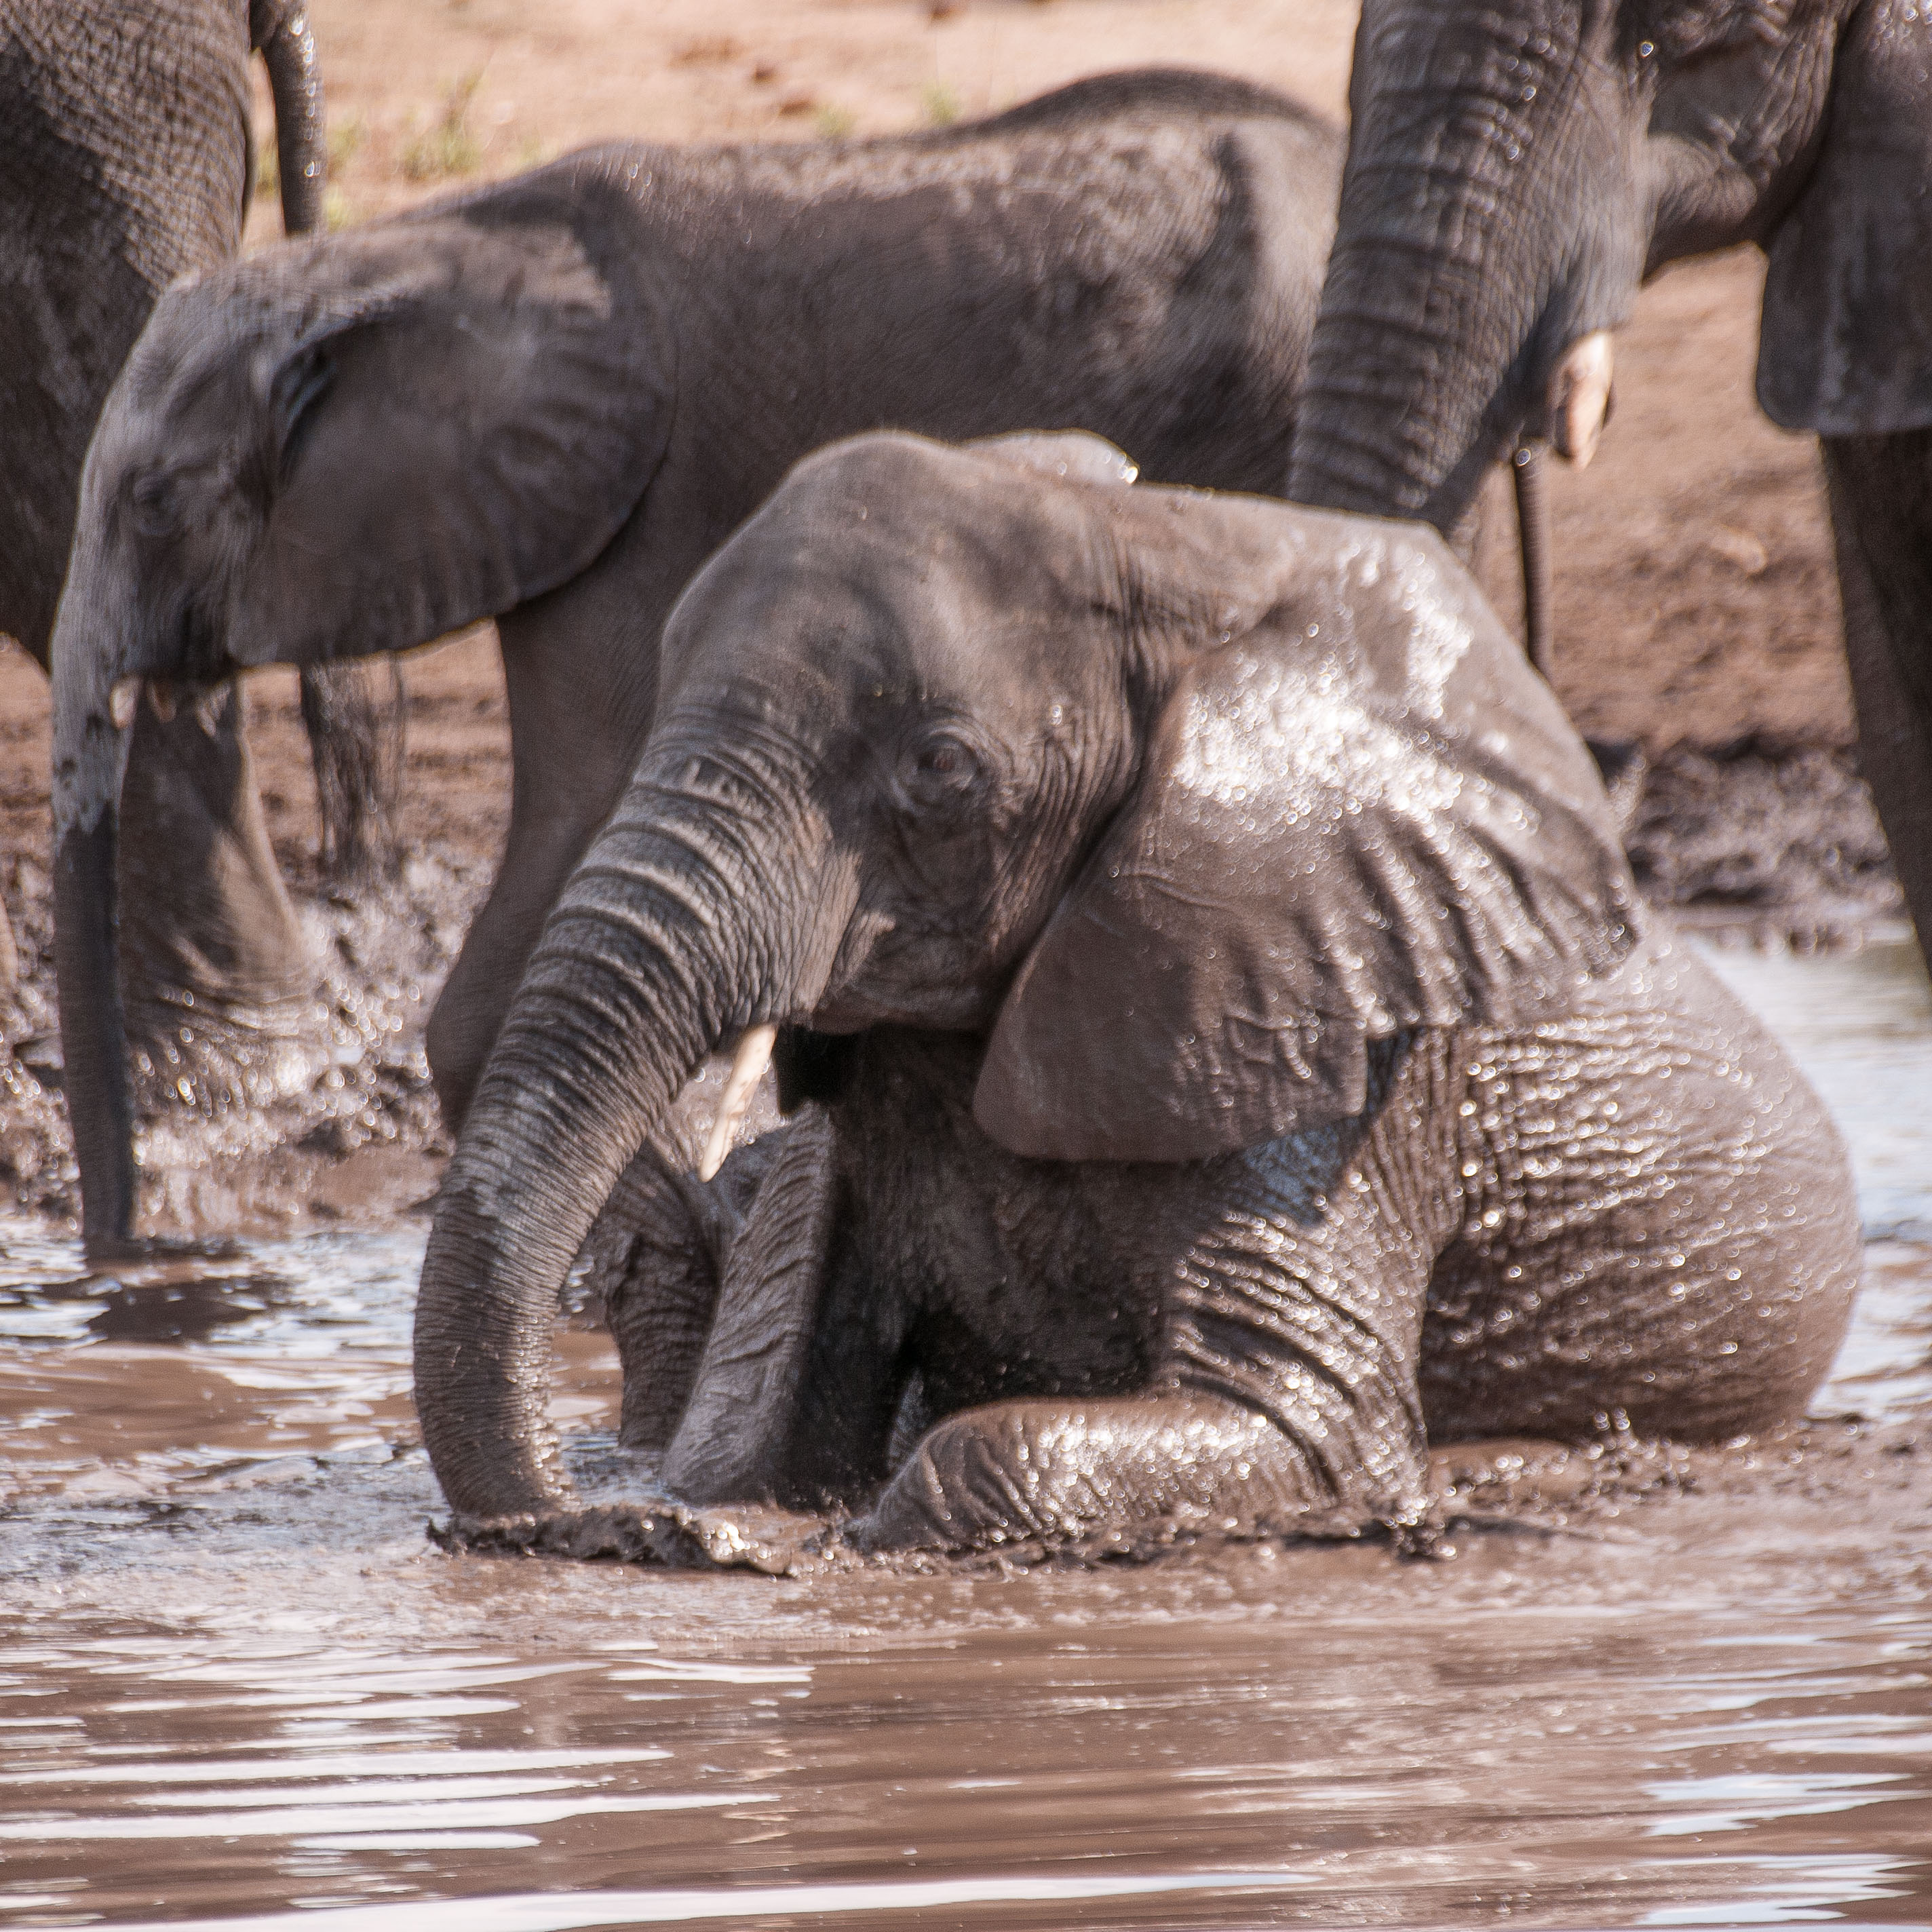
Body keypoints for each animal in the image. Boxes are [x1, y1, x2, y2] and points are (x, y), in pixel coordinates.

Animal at [404, 434, 1855, 1553]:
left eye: (941, 767)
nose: (572, 1524)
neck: (1164, 545)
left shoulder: (1343, 1032)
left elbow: (1296, 1426)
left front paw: (828, 1535)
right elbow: (756, 1435)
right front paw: (710, 1510)